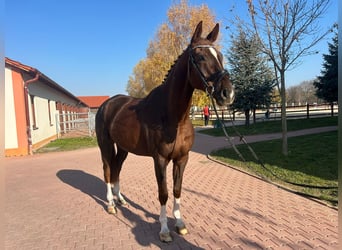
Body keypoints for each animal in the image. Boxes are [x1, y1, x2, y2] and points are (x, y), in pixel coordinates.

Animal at [96, 22, 235, 242]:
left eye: (220, 56)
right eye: (201, 57)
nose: (227, 93)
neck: (173, 117)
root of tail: (107, 104)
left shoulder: (182, 158)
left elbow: (177, 190)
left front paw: (180, 224)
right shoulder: (160, 159)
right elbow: (164, 193)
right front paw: (164, 230)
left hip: (124, 148)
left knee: (117, 168)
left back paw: (121, 200)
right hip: (106, 144)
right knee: (108, 170)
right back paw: (110, 204)